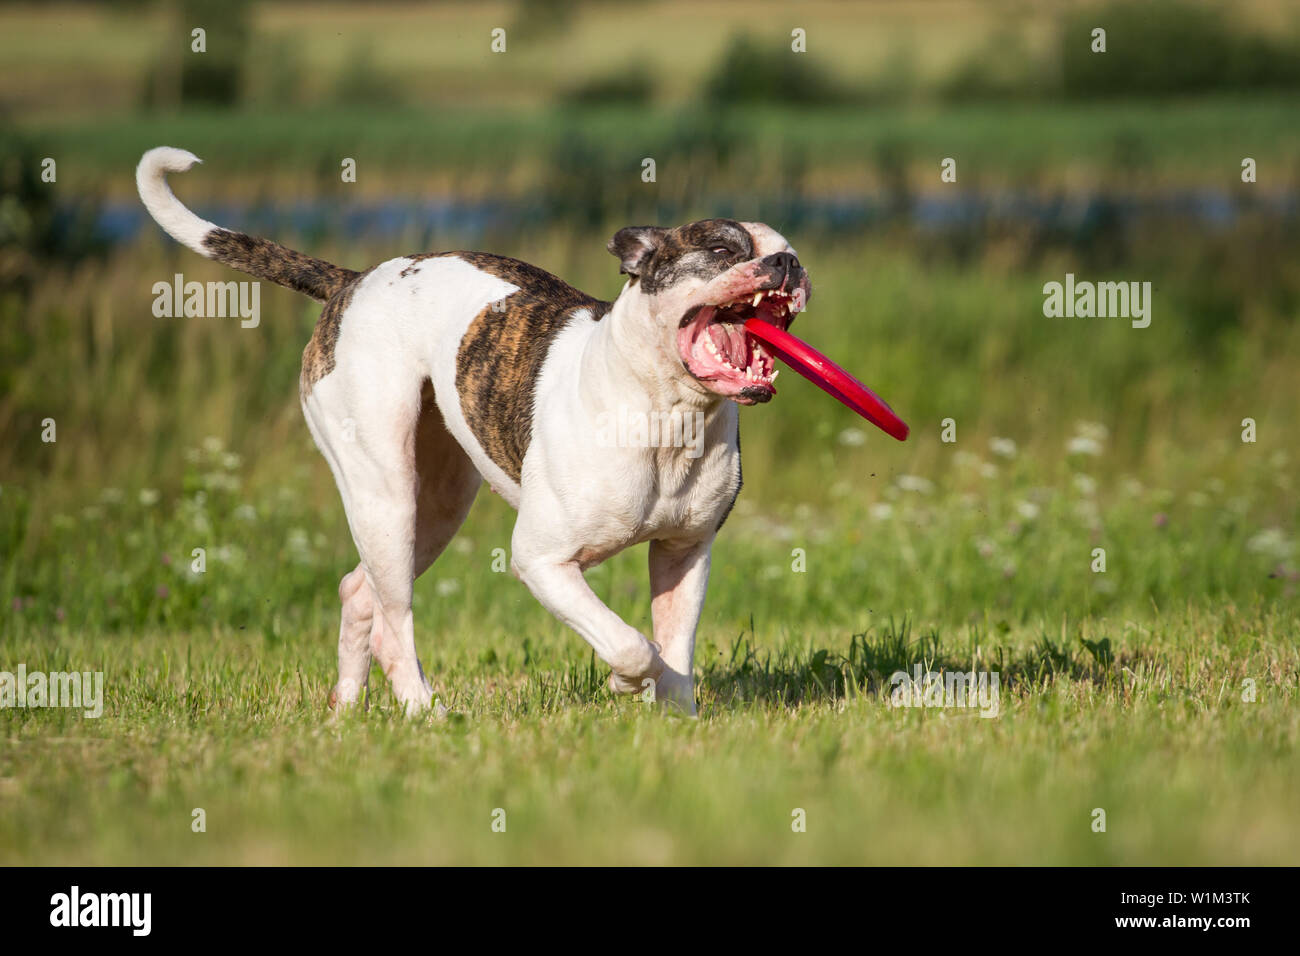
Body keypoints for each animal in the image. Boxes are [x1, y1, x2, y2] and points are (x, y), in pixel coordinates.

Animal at [142, 145, 811, 717]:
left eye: (789, 249)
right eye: (722, 250)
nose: (786, 262)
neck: (666, 412)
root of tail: (353, 281)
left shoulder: (685, 552)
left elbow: (674, 649)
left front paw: (677, 721)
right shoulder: (542, 561)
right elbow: (630, 643)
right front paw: (626, 682)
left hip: (436, 508)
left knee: (360, 593)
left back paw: (347, 712)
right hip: (384, 495)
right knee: (394, 620)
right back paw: (422, 710)